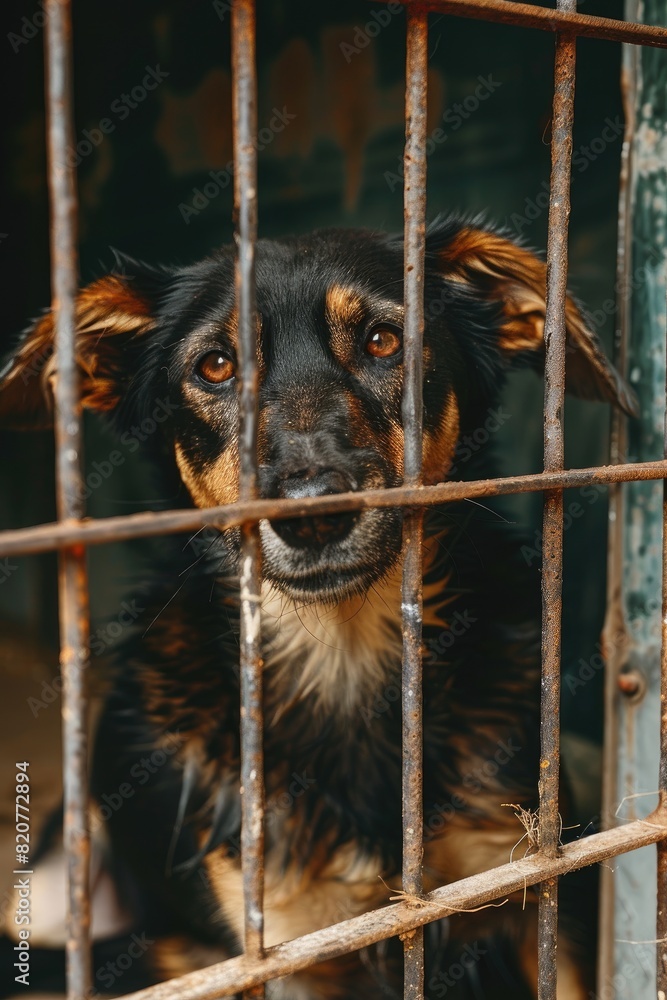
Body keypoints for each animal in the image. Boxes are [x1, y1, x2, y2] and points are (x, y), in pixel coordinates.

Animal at [0, 221, 636, 1000]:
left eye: (384, 342)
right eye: (216, 366)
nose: (312, 516)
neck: (343, 653)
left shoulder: (536, 891)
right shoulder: (280, 948)